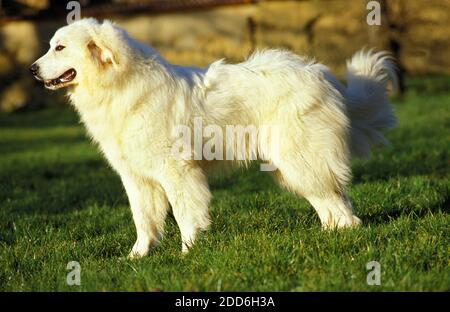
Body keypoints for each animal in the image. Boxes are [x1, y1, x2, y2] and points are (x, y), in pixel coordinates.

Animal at [31, 18, 396, 258]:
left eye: (59, 47)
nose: (32, 70)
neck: (118, 85)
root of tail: (321, 74)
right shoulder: (136, 177)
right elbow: (143, 220)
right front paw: (137, 257)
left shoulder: (177, 172)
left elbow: (185, 214)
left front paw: (187, 253)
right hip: (293, 166)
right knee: (332, 200)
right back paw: (330, 235)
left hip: (299, 159)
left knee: (340, 204)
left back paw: (343, 238)